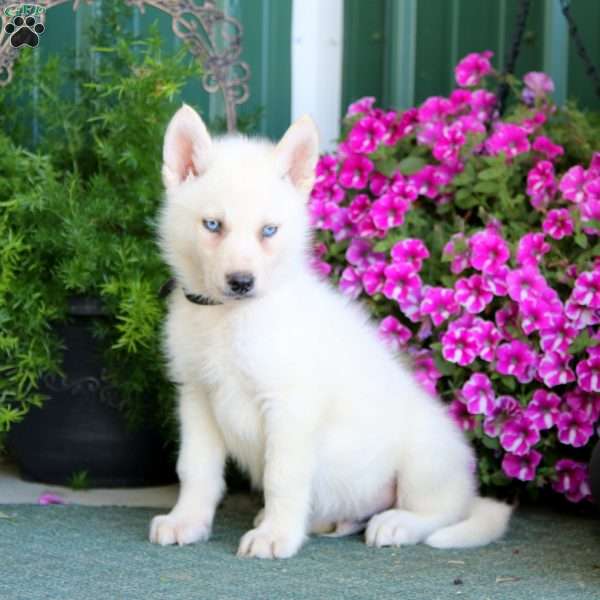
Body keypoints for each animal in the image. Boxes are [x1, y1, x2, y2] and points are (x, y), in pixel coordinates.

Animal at [149, 104, 510, 556]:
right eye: (212, 225)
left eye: (269, 230)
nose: (241, 282)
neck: (229, 317)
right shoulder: (197, 397)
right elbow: (195, 470)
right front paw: (187, 521)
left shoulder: (290, 405)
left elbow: (282, 477)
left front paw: (276, 536)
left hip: (425, 459)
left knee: (439, 513)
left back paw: (397, 524)